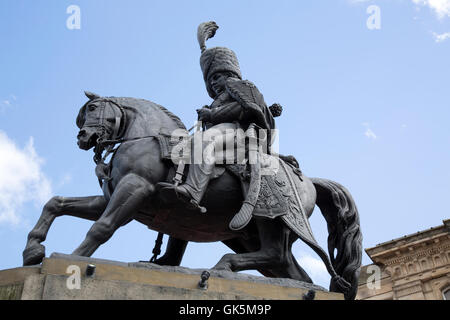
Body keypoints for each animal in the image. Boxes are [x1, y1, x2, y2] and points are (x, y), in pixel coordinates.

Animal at [23, 92, 362, 300]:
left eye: (92, 109)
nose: (83, 137)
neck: (145, 138)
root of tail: (309, 182)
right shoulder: (112, 198)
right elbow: (56, 203)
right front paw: (33, 250)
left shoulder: (134, 189)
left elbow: (102, 227)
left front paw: (75, 260)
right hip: (250, 235)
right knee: (294, 271)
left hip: (271, 219)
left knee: (276, 255)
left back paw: (222, 266)